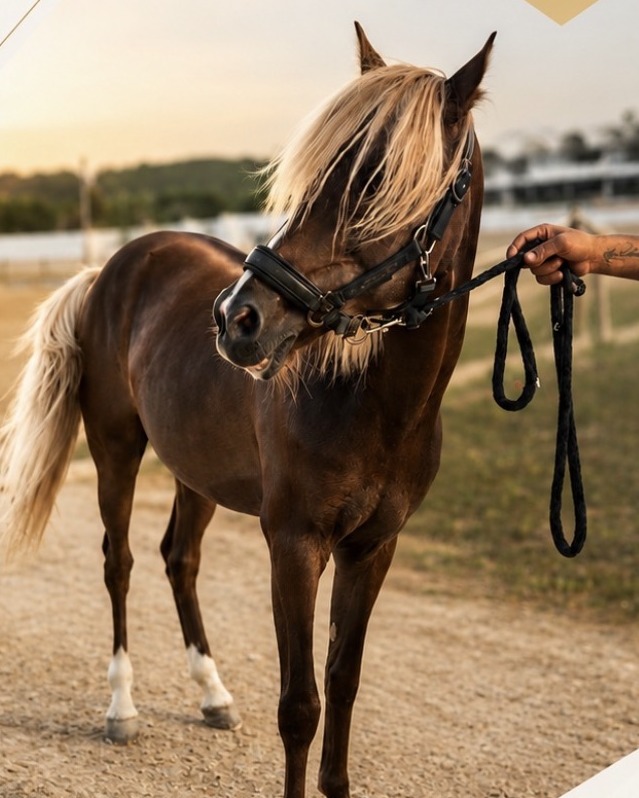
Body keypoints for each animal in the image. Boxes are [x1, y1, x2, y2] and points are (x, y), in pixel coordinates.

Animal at [0, 23, 494, 798]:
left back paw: (213, 695)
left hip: (193, 473)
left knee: (180, 559)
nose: (238, 318)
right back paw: (121, 708)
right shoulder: (293, 546)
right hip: (115, 449)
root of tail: (114, 265)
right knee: (120, 561)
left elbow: (342, 685)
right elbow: (299, 707)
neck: (375, 408)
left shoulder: (371, 550)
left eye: (378, 182)